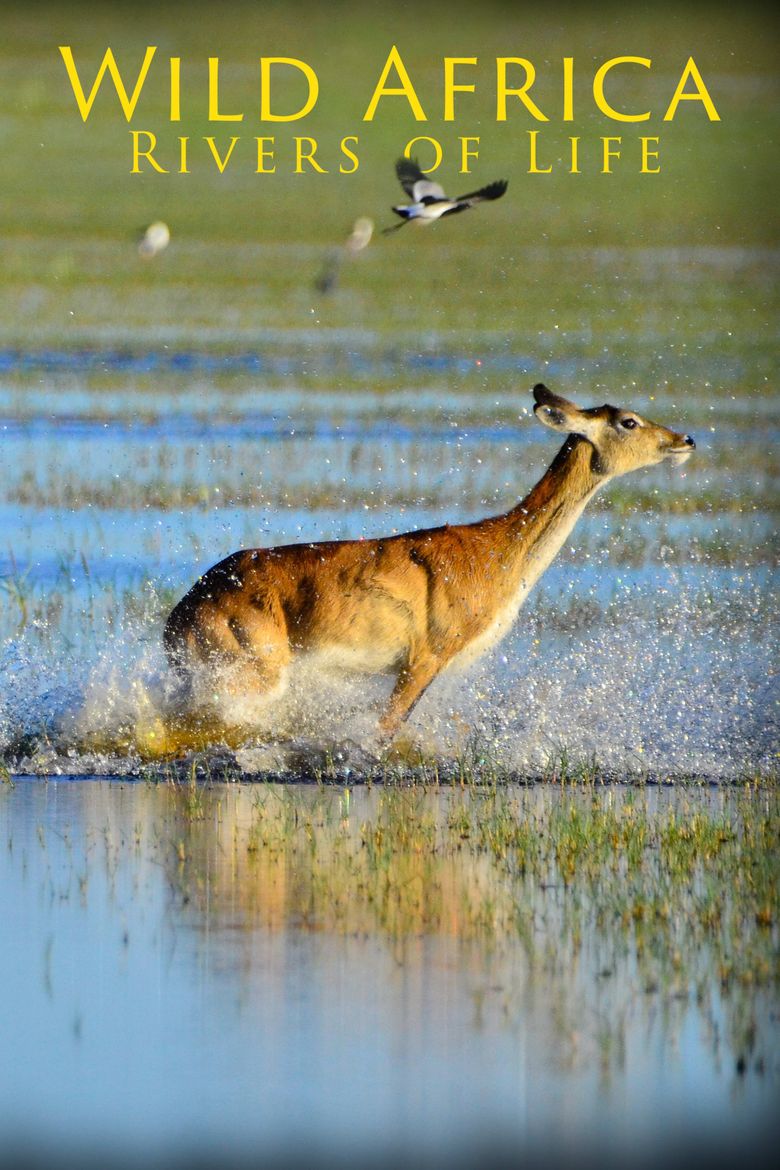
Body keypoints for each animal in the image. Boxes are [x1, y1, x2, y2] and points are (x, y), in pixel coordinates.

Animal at [164, 383, 696, 739]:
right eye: (628, 421)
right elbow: (383, 731)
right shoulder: (422, 659)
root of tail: (182, 612)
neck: (495, 552)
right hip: (252, 672)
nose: (685, 441)